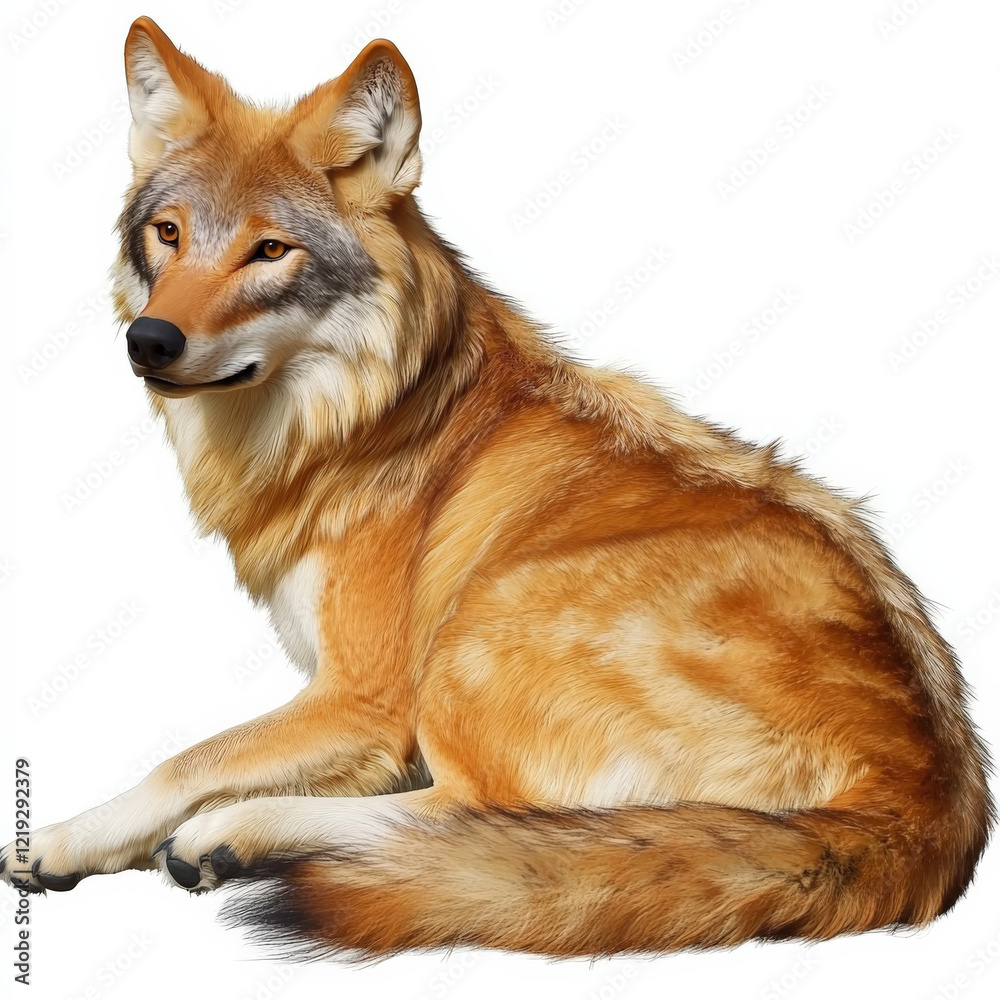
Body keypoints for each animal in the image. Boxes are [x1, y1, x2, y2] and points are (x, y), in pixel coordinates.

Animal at [1, 16, 992, 959]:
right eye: (169, 234)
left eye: (269, 251)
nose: (150, 341)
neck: (353, 422)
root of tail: (933, 802)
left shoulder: (362, 700)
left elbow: (187, 760)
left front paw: (59, 837)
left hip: (473, 638)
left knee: (471, 820)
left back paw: (234, 835)